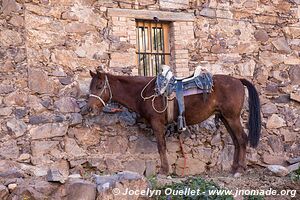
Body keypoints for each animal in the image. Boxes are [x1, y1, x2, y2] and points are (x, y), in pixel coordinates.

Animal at [86, 70, 260, 175]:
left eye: (99, 86)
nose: (90, 108)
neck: (144, 92)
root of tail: (238, 80)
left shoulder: (157, 123)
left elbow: (161, 147)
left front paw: (164, 170)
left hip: (232, 117)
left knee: (242, 139)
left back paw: (240, 170)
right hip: (225, 118)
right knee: (236, 141)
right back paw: (234, 168)